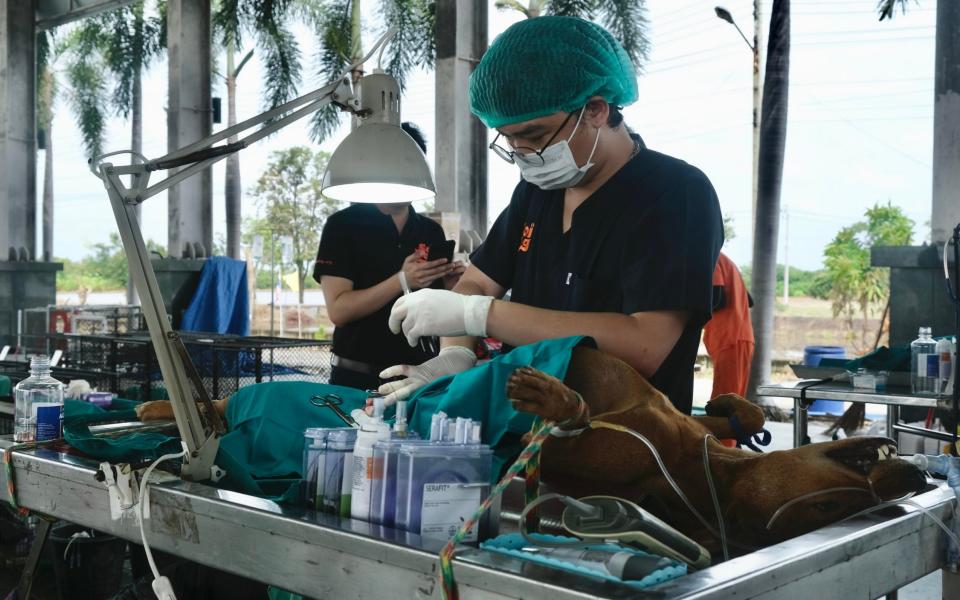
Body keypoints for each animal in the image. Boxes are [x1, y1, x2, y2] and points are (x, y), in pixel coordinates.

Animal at [135, 344, 924, 556]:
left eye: (824, 514)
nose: (911, 471)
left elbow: (559, 428)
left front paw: (547, 397)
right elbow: (720, 410)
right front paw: (746, 408)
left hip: (259, 412)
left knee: (224, 409)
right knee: (212, 404)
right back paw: (157, 402)